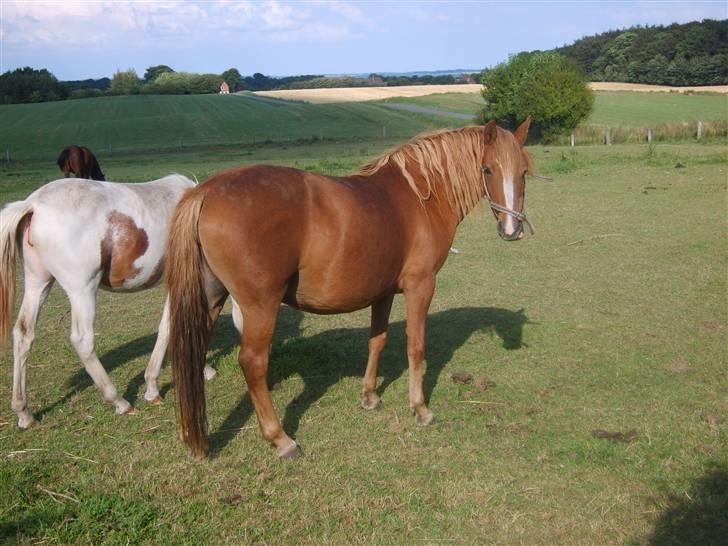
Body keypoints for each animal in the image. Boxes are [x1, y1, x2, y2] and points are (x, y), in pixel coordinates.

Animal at [0, 176, 239, 428]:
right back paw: (120, 402)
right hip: (82, 290)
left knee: (23, 334)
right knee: (82, 341)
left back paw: (23, 413)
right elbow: (175, 326)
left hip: (38, 283)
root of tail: (34, 205)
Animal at [169, 119, 536, 460]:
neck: (422, 196)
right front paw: (420, 408)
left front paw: (370, 396)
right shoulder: (421, 285)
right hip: (260, 305)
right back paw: (281, 439)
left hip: (211, 300)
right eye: (488, 169)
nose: (512, 229)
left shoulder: (383, 292)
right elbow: (415, 346)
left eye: (524, 172)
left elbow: (378, 340)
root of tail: (207, 191)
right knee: (253, 363)